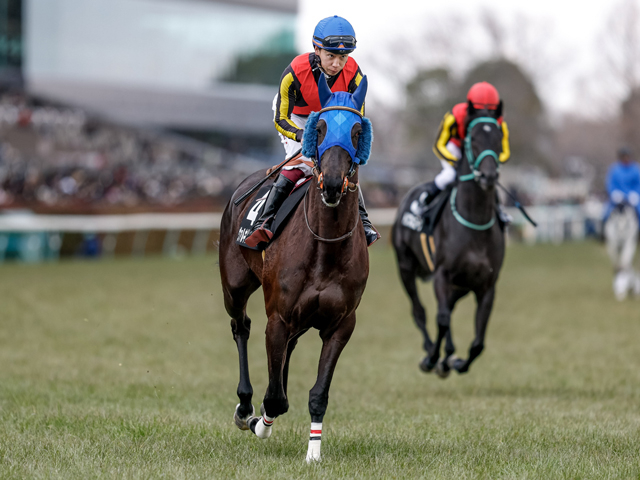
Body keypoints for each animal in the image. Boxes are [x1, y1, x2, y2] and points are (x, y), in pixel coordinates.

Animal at [219, 74, 372, 462]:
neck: (325, 245)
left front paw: (313, 453)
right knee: (240, 326)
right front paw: (259, 421)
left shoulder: (341, 324)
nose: (331, 182)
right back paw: (245, 406)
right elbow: (275, 398)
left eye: (356, 130)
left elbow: (318, 394)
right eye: (318, 128)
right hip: (235, 286)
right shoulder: (278, 316)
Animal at [392, 105, 508, 378]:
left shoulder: (486, 285)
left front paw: (456, 362)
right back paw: (433, 352)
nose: (488, 175)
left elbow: (478, 342)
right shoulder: (442, 275)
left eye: (499, 138)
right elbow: (441, 319)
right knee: (421, 312)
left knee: (448, 311)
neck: (474, 220)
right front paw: (432, 359)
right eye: (472, 138)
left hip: (461, 285)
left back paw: (448, 356)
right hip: (405, 266)